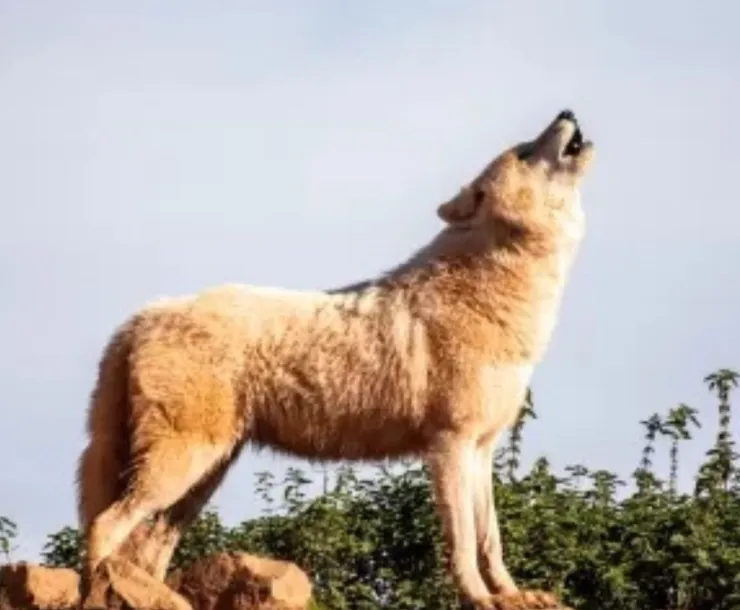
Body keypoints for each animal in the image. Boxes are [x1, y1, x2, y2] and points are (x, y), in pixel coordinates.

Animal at [76, 109, 594, 609]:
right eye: (526, 151)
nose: (567, 111)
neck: (494, 291)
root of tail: (143, 316)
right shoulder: (449, 445)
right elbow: (464, 543)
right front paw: (480, 598)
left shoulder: (482, 450)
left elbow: (492, 540)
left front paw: (513, 595)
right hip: (179, 467)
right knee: (104, 525)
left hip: (200, 477)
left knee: (147, 549)